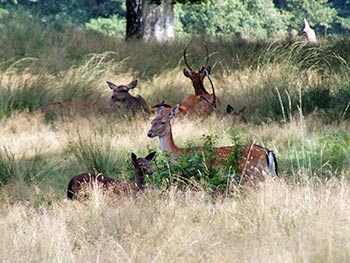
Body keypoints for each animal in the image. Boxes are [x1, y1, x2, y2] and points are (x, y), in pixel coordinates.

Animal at [146, 105, 278, 186]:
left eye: (163, 122)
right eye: (152, 121)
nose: (149, 133)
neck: (177, 154)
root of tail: (267, 151)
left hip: (254, 172)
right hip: (268, 172)